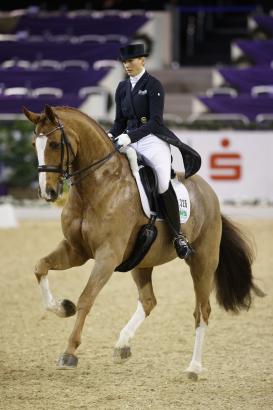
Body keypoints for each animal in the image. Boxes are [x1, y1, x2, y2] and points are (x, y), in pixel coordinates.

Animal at [22, 104, 262, 380]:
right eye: (34, 144)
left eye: (53, 144)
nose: (47, 193)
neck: (98, 185)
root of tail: (209, 192)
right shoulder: (75, 250)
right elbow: (40, 267)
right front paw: (62, 307)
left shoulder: (107, 256)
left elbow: (86, 298)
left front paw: (69, 352)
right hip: (141, 260)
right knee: (149, 301)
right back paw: (122, 345)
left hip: (202, 261)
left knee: (202, 310)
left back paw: (193, 368)